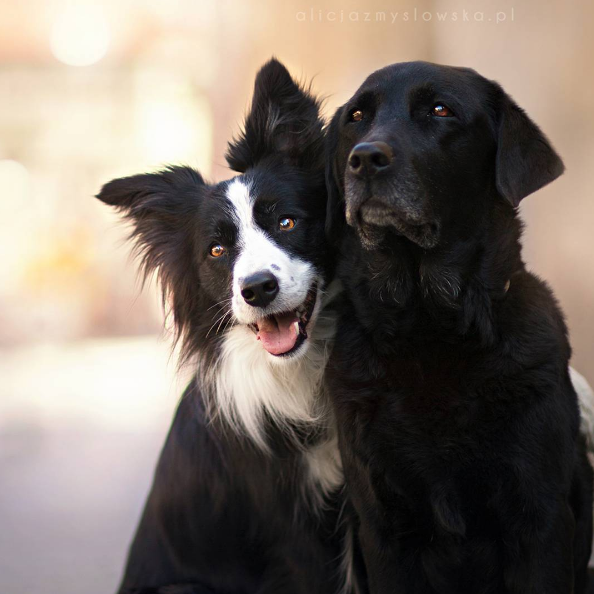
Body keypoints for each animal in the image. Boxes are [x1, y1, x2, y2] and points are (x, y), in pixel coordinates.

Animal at [324, 61, 592, 592]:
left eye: (440, 110)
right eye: (357, 117)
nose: (365, 159)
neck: (430, 330)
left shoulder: (540, 521)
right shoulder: (383, 528)